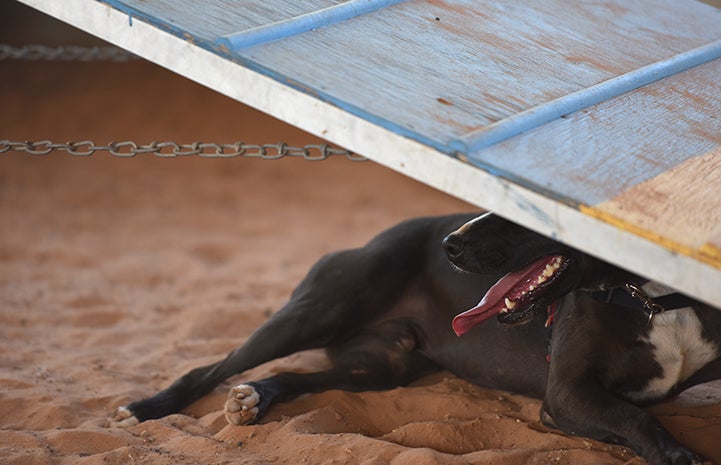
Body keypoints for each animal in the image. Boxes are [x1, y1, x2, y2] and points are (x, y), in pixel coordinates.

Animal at [109, 213, 716, 464]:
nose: (452, 245)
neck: (653, 297)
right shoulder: (565, 394)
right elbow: (636, 416)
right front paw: (677, 454)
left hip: (382, 367)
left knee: (294, 376)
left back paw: (254, 400)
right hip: (317, 312)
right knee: (210, 369)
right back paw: (145, 408)